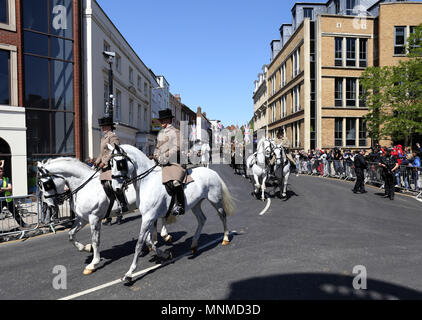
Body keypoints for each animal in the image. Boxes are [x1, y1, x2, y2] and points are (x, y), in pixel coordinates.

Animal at [37, 159, 172, 274]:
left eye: (45, 184)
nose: (50, 205)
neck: (85, 185)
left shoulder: (94, 218)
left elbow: (95, 240)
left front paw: (93, 263)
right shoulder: (82, 218)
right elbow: (71, 235)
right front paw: (86, 248)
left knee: (163, 216)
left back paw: (165, 235)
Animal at [107, 145, 236, 282]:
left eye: (120, 163)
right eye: (110, 164)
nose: (116, 188)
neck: (147, 182)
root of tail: (212, 172)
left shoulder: (149, 217)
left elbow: (139, 243)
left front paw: (129, 273)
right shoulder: (149, 217)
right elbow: (148, 241)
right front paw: (165, 254)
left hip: (215, 200)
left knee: (222, 216)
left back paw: (225, 238)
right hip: (196, 205)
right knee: (202, 219)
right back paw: (194, 245)